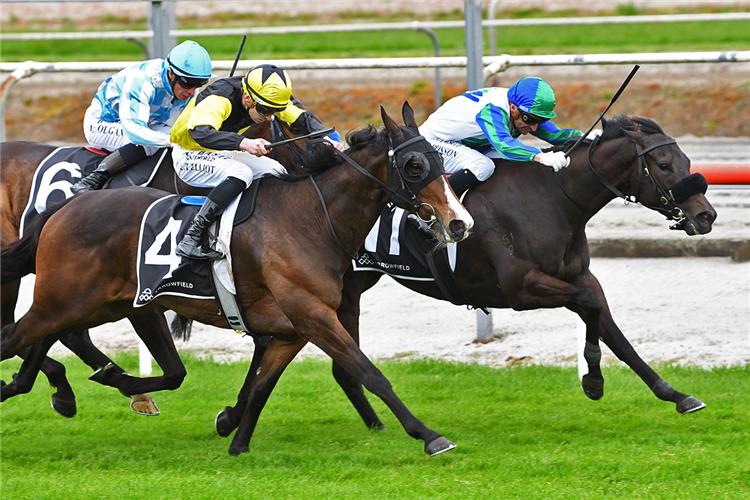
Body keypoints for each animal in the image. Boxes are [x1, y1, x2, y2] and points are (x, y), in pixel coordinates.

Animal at [214, 114, 720, 438]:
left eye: (686, 160)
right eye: (664, 165)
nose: (706, 215)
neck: (554, 197)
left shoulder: (580, 276)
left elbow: (614, 329)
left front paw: (673, 393)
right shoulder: (520, 288)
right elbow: (591, 308)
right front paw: (593, 381)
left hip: (344, 291)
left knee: (322, 359)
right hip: (328, 291)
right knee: (295, 349)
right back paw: (235, 416)